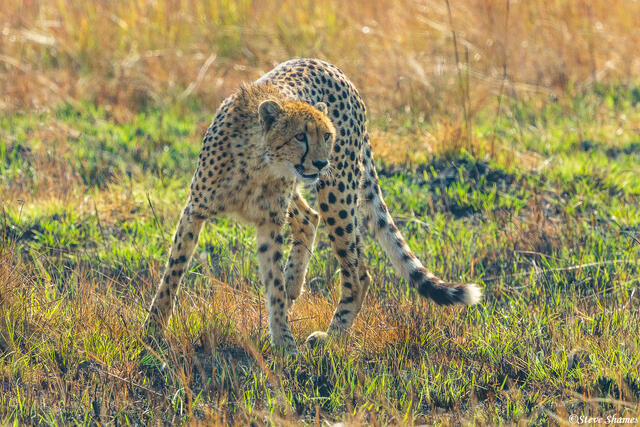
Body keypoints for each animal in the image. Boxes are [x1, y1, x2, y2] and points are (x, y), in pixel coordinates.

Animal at [145, 58, 481, 355]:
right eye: (300, 136)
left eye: (327, 135)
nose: (321, 162)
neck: (258, 162)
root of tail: (332, 67)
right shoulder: (195, 210)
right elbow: (173, 271)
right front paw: (153, 329)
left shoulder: (270, 223)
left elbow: (273, 284)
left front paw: (284, 342)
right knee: (310, 218)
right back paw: (295, 284)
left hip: (337, 190)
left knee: (357, 271)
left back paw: (333, 336)